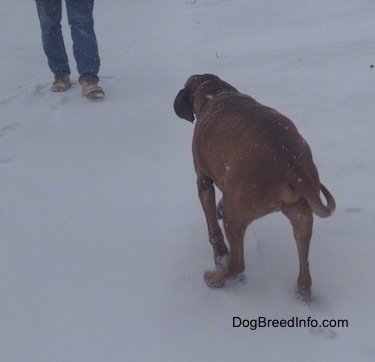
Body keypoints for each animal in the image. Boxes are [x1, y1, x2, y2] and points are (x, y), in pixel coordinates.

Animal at [175, 73, 336, 300]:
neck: (217, 92)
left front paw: (220, 254)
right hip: (301, 217)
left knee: (237, 264)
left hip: (235, 215)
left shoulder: (203, 181)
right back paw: (302, 293)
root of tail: (293, 165)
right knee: (305, 272)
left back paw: (216, 278)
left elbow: (213, 230)